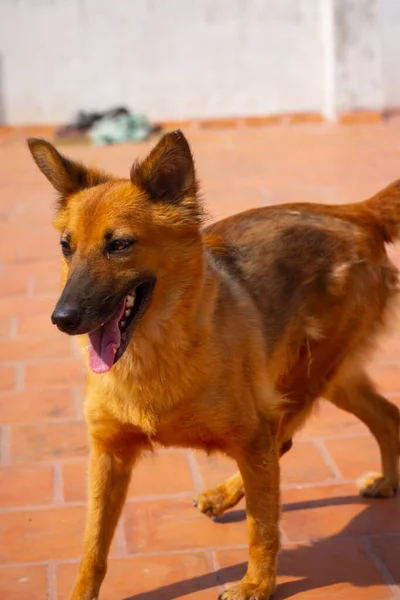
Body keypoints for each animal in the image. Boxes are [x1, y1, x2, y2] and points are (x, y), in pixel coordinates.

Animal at [28, 132, 400, 600]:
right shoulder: (108, 454)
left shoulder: (254, 434)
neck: (154, 353)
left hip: (304, 380)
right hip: (326, 380)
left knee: (286, 443)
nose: (62, 319)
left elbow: (263, 527)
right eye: (66, 246)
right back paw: (386, 481)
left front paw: (257, 584)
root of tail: (356, 211)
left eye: (119, 245)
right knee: (384, 416)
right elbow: (93, 546)